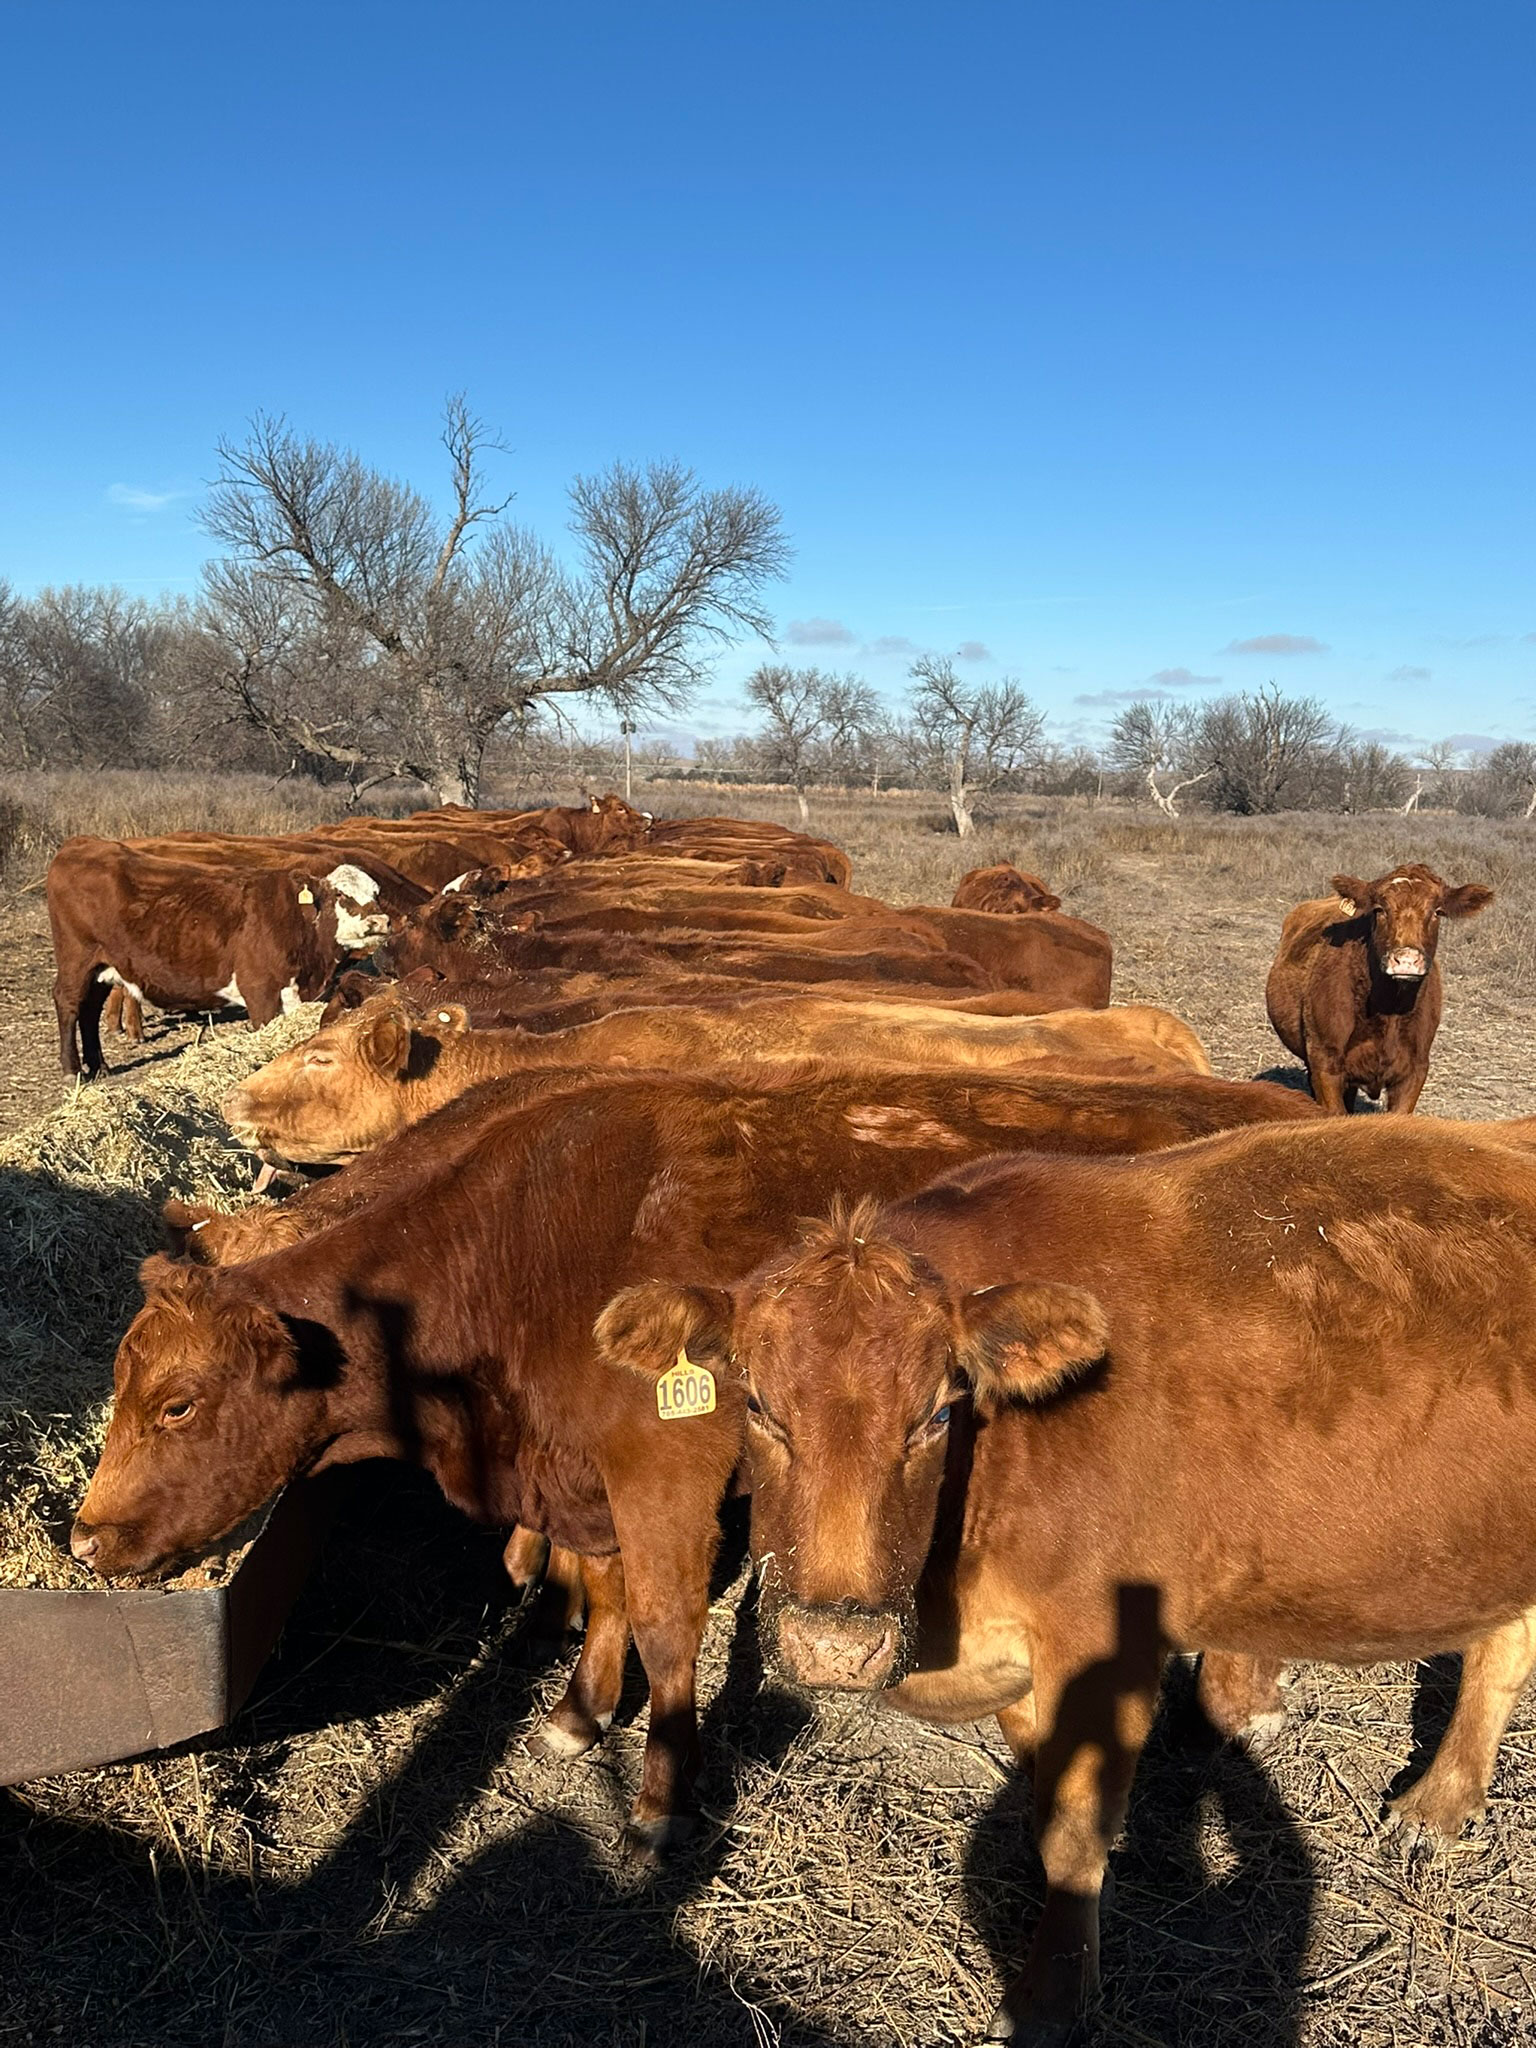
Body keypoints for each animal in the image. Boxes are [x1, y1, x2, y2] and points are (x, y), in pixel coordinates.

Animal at [47, 841, 396, 1076]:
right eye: (340, 894)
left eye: (377, 893)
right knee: (68, 1003)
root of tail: (83, 844)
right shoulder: (261, 994)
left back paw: (100, 1066)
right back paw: (73, 1070)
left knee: (89, 1009)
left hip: (103, 966)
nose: (379, 922)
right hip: (77, 960)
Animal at [74, 1061, 1328, 1852]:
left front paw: (660, 1798)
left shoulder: (666, 1472)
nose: (86, 1535)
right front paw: (580, 1705)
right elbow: (602, 1588)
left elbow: (671, 1620)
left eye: (178, 1401)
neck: (517, 1251)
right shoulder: (587, 1481)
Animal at [621, 1118, 1536, 2037]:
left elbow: (1073, 1824)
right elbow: (1041, 1791)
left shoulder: (1105, 1642)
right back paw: (1441, 1802)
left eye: (938, 1412)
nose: (835, 1645)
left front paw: (1050, 1999)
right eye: (759, 1405)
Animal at [1265, 863, 1494, 1114]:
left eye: (1437, 912)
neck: (1389, 1010)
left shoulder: (1415, 1069)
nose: (1406, 959)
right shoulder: (1325, 1062)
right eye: (1379, 909)